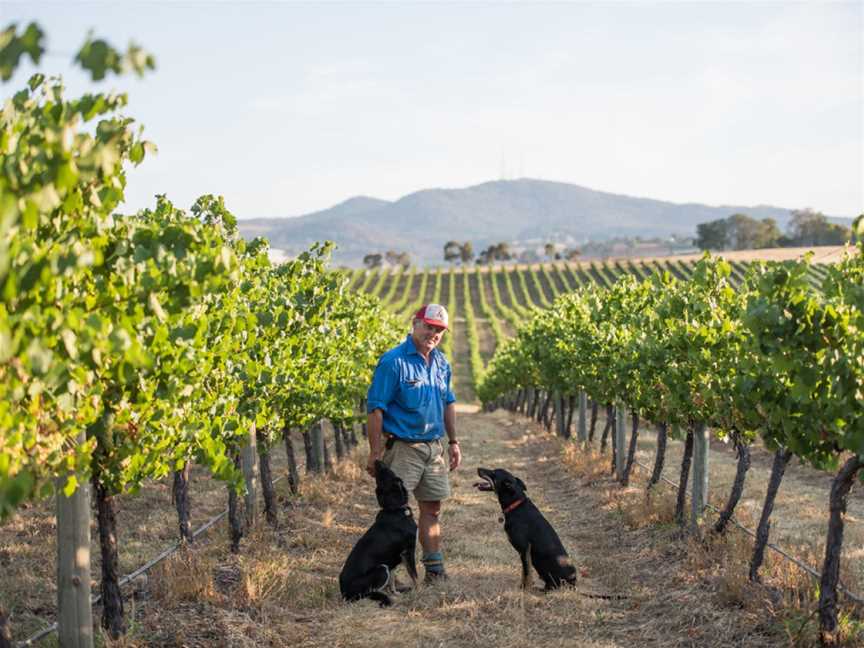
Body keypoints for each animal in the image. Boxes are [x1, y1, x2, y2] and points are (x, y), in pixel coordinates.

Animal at [338, 458, 418, 604]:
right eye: (385, 471)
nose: (376, 460)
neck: (394, 509)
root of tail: (344, 593)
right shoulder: (408, 551)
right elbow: (414, 575)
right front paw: (419, 591)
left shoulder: (393, 561)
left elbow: (392, 581)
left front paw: (396, 593)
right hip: (381, 569)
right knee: (368, 593)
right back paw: (384, 598)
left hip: (384, 567)